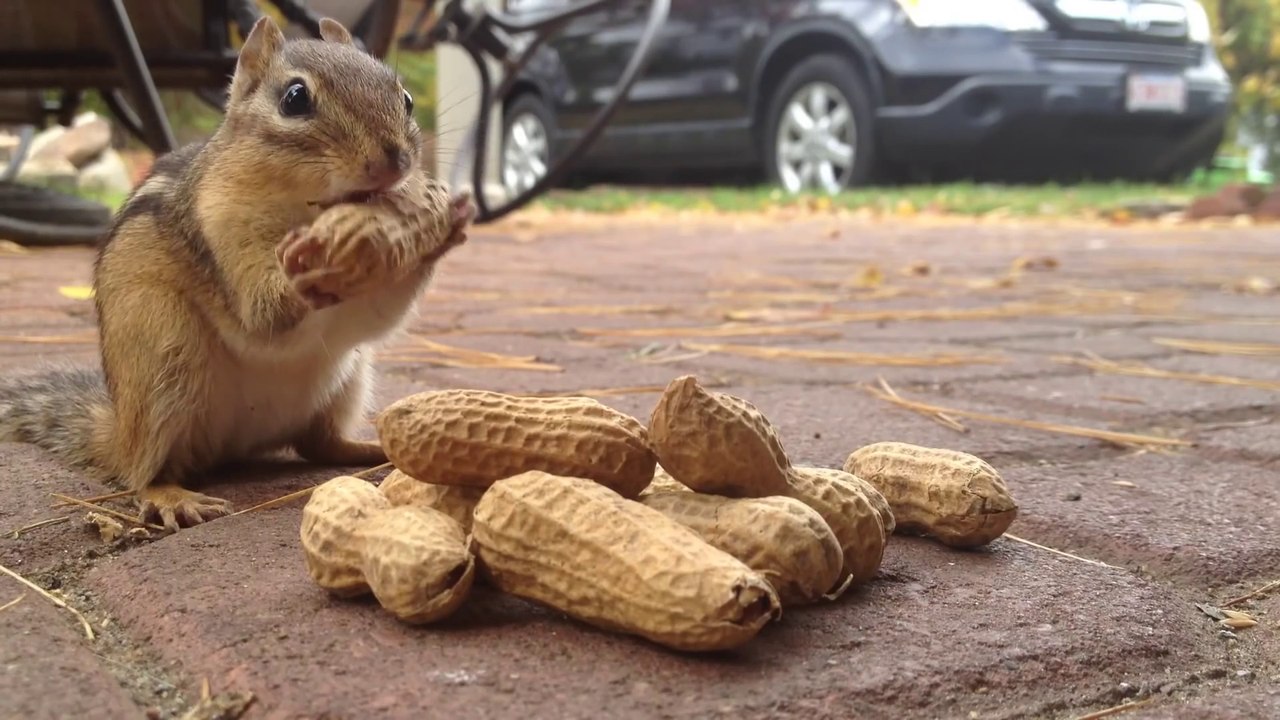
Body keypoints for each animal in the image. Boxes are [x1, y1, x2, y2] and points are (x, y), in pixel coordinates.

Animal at [0, 15, 476, 531]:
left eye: (404, 97)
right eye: (295, 99)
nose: (396, 160)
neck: (305, 208)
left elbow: (380, 315)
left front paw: (447, 223)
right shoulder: (222, 229)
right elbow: (261, 313)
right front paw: (301, 269)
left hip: (349, 377)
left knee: (317, 443)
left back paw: (369, 448)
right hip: (162, 356)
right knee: (143, 472)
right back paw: (170, 496)